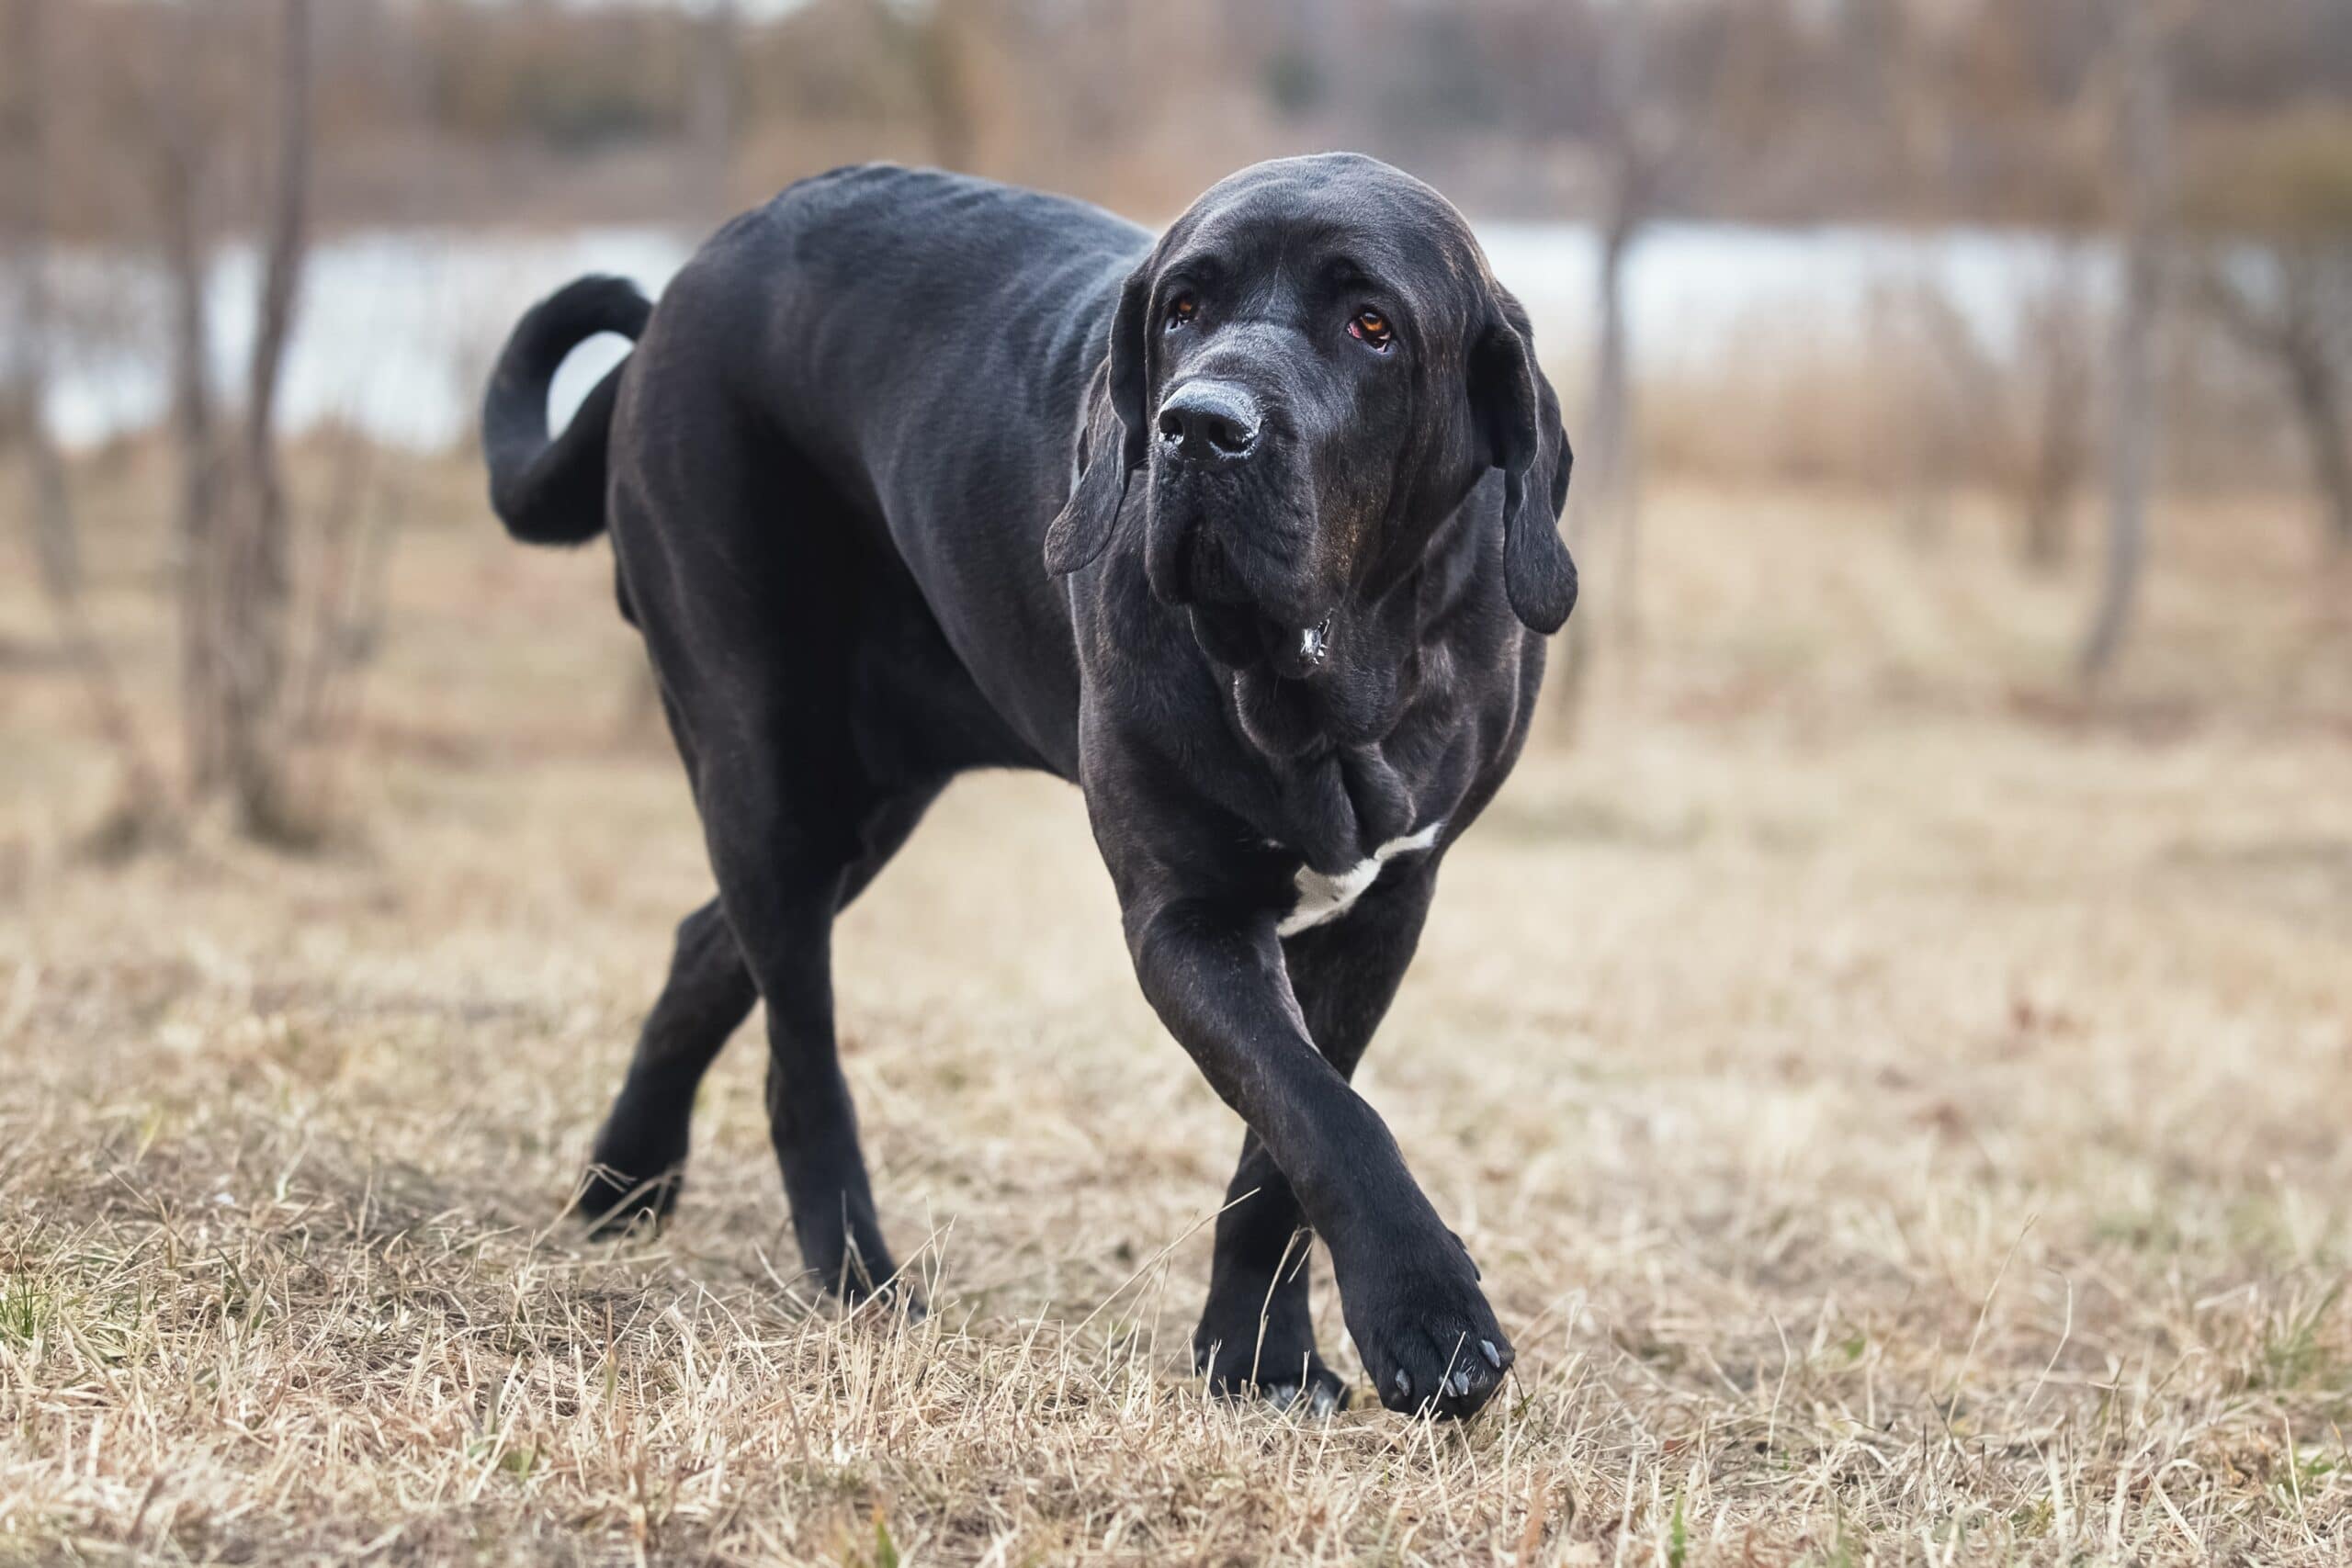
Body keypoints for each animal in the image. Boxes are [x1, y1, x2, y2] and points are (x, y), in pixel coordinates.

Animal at [484, 160, 1571, 1419]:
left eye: (1373, 326)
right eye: (1183, 310)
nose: (1200, 426)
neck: (1324, 683)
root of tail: (679, 291)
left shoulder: (1385, 907)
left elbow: (1282, 1147)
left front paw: (1260, 1359)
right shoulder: (1185, 916)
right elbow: (1319, 1111)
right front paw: (1427, 1317)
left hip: (866, 798)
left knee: (707, 943)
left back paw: (626, 1181)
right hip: (764, 759)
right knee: (799, 1054)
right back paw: (859, 1281)